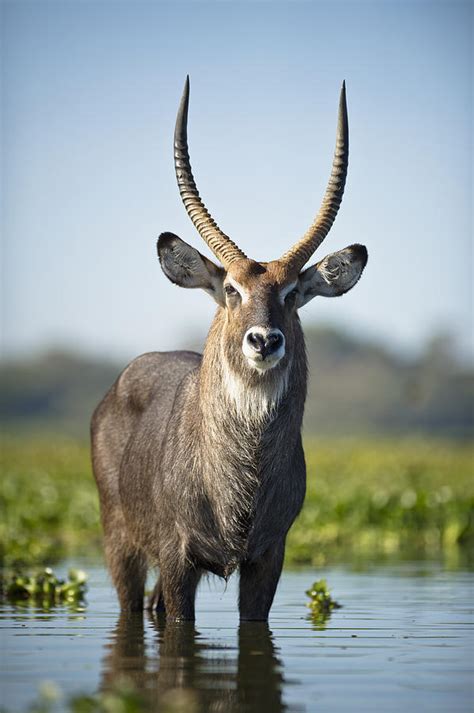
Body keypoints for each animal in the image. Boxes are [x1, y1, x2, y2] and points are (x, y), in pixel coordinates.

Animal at [90, 78, 368, 620]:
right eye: (232, 290)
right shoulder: (178, 556)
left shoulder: (269, 557)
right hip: (120, 542)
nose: (264, 340)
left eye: (291, 294)